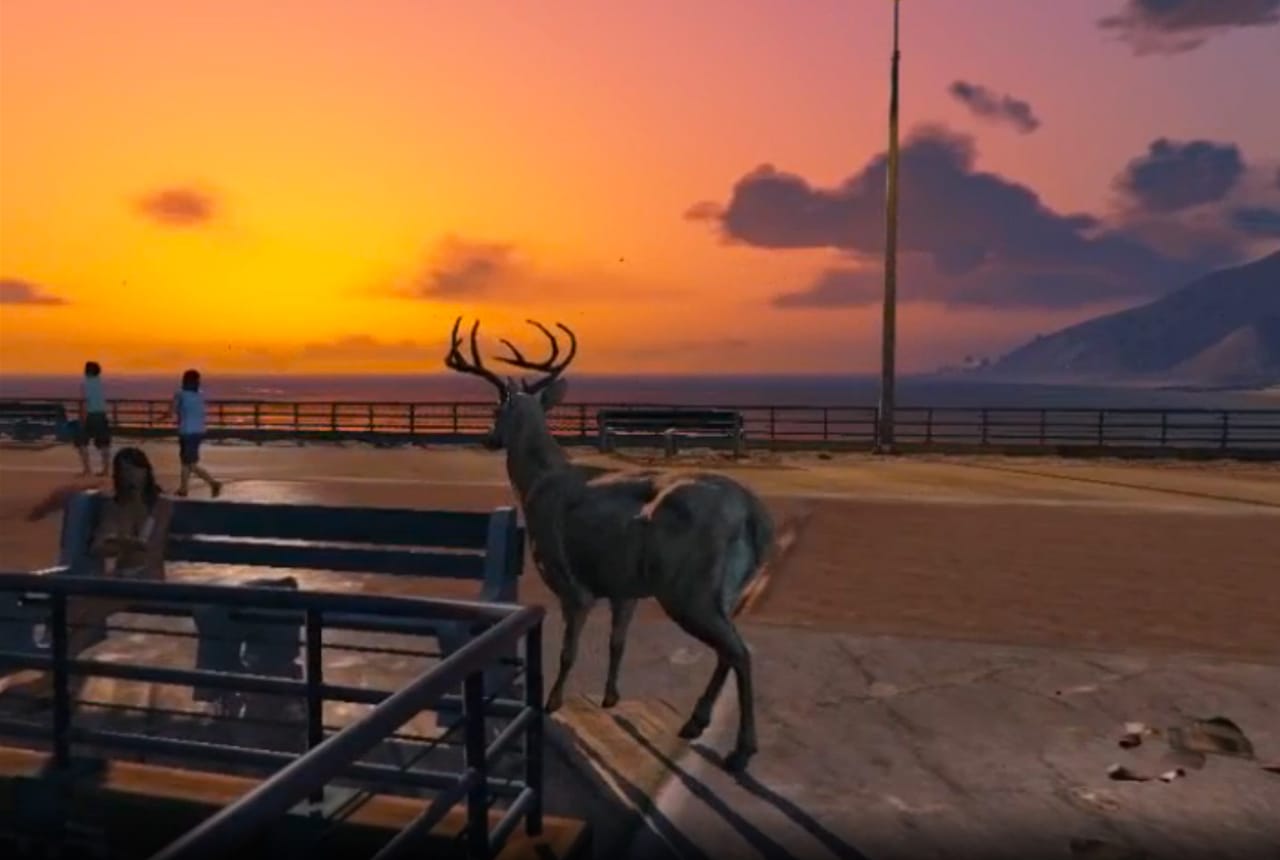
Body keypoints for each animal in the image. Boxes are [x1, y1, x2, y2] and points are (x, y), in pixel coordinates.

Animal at [443, 316, 775, 772]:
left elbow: (567, 650)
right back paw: (695, 722)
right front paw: (610, 697)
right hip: (719, 590)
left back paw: (740, 751)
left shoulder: (568, 580)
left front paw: (552, 701)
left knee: (739, 651)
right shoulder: (624, 588)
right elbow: (618, 643)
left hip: (688, 586)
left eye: (497, 409)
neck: (538, 484)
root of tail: (752, 514)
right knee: (730, 647)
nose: (487, 439)